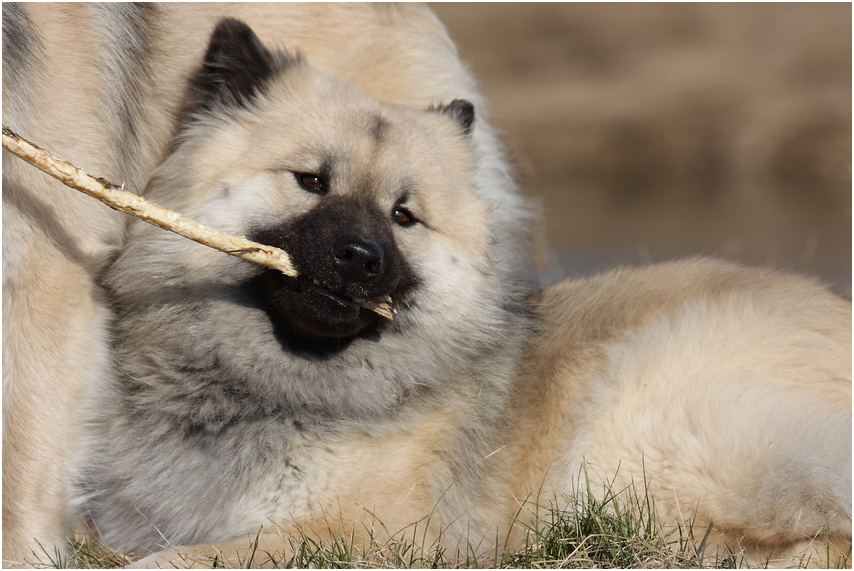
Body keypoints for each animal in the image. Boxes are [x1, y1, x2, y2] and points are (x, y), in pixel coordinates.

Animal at [78, 15, 848, 568]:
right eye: (312, 181)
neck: (268, 391)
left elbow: (185, 557)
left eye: (403, 216)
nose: (359, 260)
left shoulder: (364, 530)